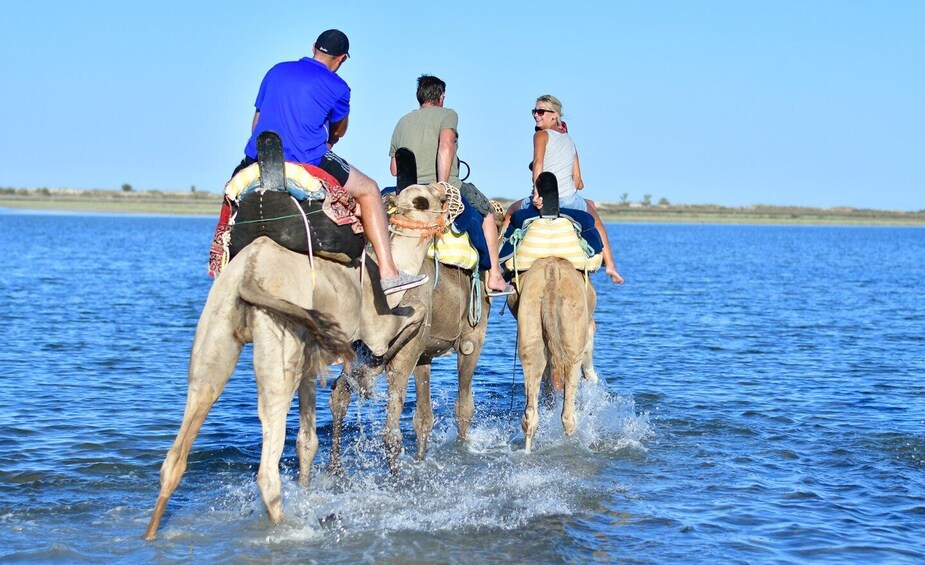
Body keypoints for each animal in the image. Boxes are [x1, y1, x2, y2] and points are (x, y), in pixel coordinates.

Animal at [144, 184, 448, 536]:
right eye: (423, 199)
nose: (447, 194)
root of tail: (250, 272)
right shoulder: (376, 325)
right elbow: (414, 315)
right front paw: (369, 370)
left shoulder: (309, 362)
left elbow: (307, 442)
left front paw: (307, 491)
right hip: (278, 344)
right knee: (267, 469)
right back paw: (288, 529)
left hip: (215, 335)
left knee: (179, 447)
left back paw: (151, 534)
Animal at [506, 256, 600, 454]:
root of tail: (551, 279)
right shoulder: (587, 329)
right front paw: (592, 380)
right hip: (572, 334)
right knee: (568, 414)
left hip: (530, 325)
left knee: (530, 414)